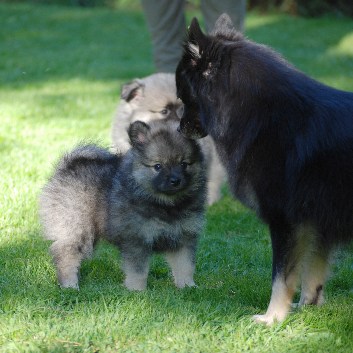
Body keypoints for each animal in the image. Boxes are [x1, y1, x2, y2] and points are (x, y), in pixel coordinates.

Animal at [39, 117, 206, 288]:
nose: (175, 180)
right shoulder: (136, 240)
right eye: (158, 166)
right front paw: (137, 290)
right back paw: (70, 285)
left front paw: (188, 287)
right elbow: (138, 271)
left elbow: (185, 266)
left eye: (184, 164)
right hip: (76, 228)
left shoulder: (183, 238)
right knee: (66, 254)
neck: (167, 205)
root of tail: (66, 167)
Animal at [175, 14, 352, 324]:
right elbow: (313, 273)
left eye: (183, 95)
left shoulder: (287, 221)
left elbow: (282, 276)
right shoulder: (318, 223)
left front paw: (272, 318)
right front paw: (307, 308)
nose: (178, 128)